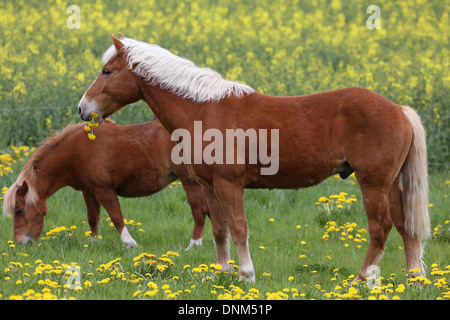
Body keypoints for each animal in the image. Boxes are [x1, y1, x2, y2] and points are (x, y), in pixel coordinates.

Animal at [2, 120, 210, 248]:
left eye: (19, 210)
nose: (18, 243)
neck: (76, 151)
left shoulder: (103, 189)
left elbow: (116, 216)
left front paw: (129, 243)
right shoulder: (88, 191)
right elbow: (93, 218)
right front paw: (95, 242)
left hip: (189, 181)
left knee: (199, 211)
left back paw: (194, 245)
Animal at [77, 35, 428, 284]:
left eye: (107, 71)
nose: (83, 109)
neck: (203, 109)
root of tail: (399, 111)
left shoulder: (229, 184)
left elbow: (238, 227)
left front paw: (246, 275)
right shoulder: (209, 186)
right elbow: (219, 229)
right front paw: (223, 273)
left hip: (373, 184)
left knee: (380, 228)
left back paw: (360, 280)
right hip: (390, 185)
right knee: (405, 226)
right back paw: (413, 279)